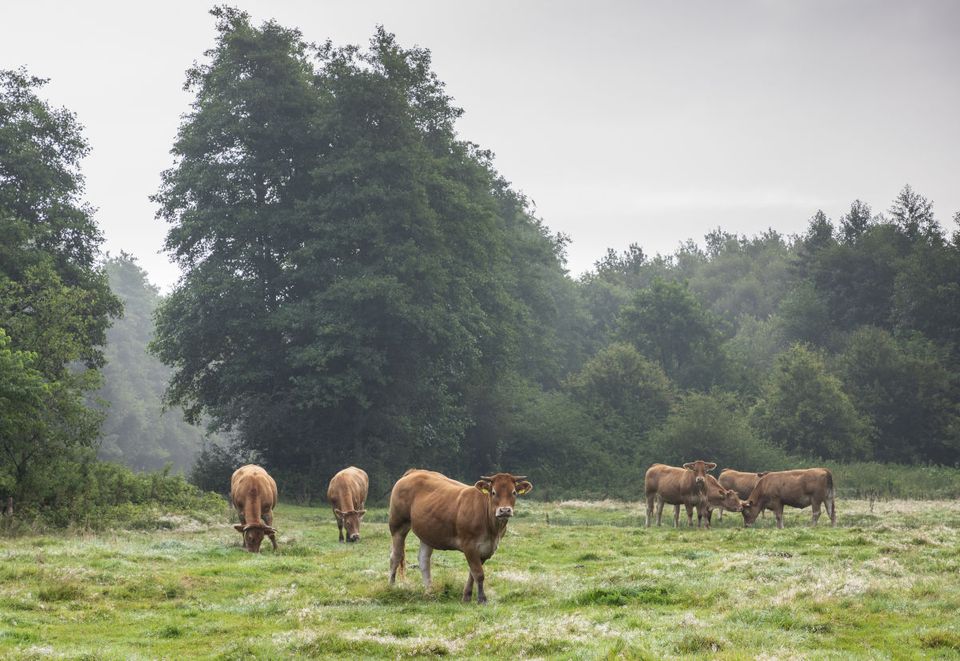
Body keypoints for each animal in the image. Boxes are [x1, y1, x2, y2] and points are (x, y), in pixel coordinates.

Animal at [388, 469, 533, 604]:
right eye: (493, 492)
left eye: (513, 492)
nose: (505, 510)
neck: (492, 530)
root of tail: (415, 472)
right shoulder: (469, 546)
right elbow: (478, 574)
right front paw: (482, 599)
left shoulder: (486, 549)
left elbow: (472, 573)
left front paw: (467, 596)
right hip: (398, 525)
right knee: (395, 556)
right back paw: (391, 586)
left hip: (427, 532)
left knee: (424, 560)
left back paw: (430, 591)